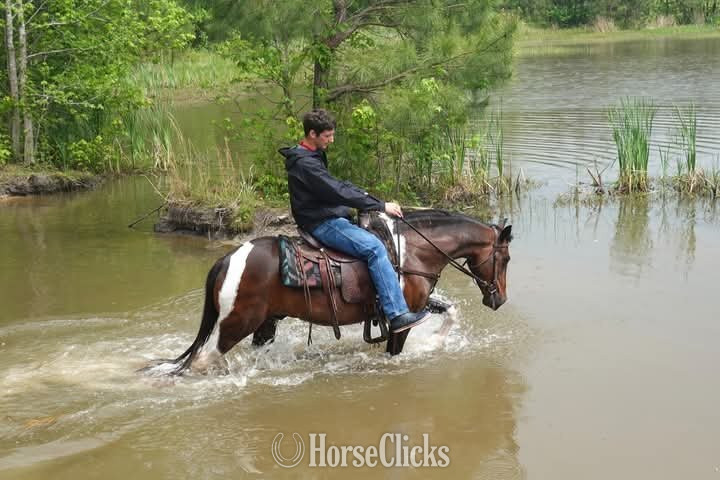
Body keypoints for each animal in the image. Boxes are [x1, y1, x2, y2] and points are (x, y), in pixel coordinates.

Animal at [152, 209, 512, 375]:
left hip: (265, 323)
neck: (413, 251)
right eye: (506, 258)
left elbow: (450, 309)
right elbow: (396, 349)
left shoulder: (414, 305)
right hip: (236, 322)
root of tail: (228, 259)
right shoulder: (402, 319)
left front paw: (437, 340)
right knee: (204, 358)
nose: (499, 299)